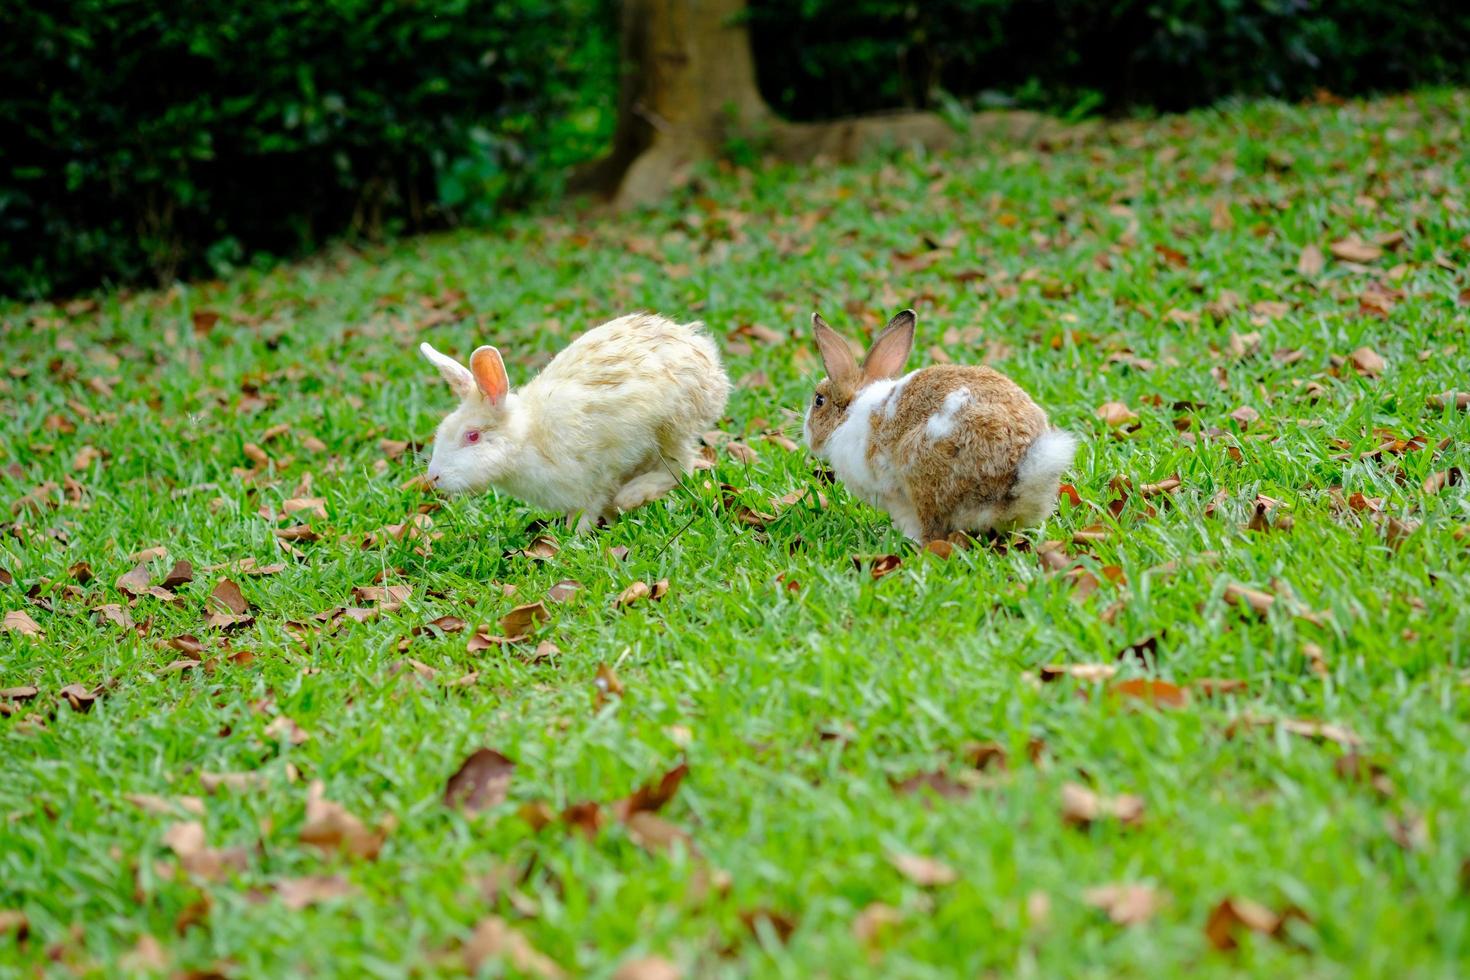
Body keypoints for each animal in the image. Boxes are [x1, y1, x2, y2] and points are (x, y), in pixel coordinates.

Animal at [420, 312, 729, 528]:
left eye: (472, 436)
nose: (433, 477)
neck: (528, 439)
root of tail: (705, 354)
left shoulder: (592, 481)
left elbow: (585, 515)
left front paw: (573, 538)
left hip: (672, 428)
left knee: (681, 468)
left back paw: (631, 496)